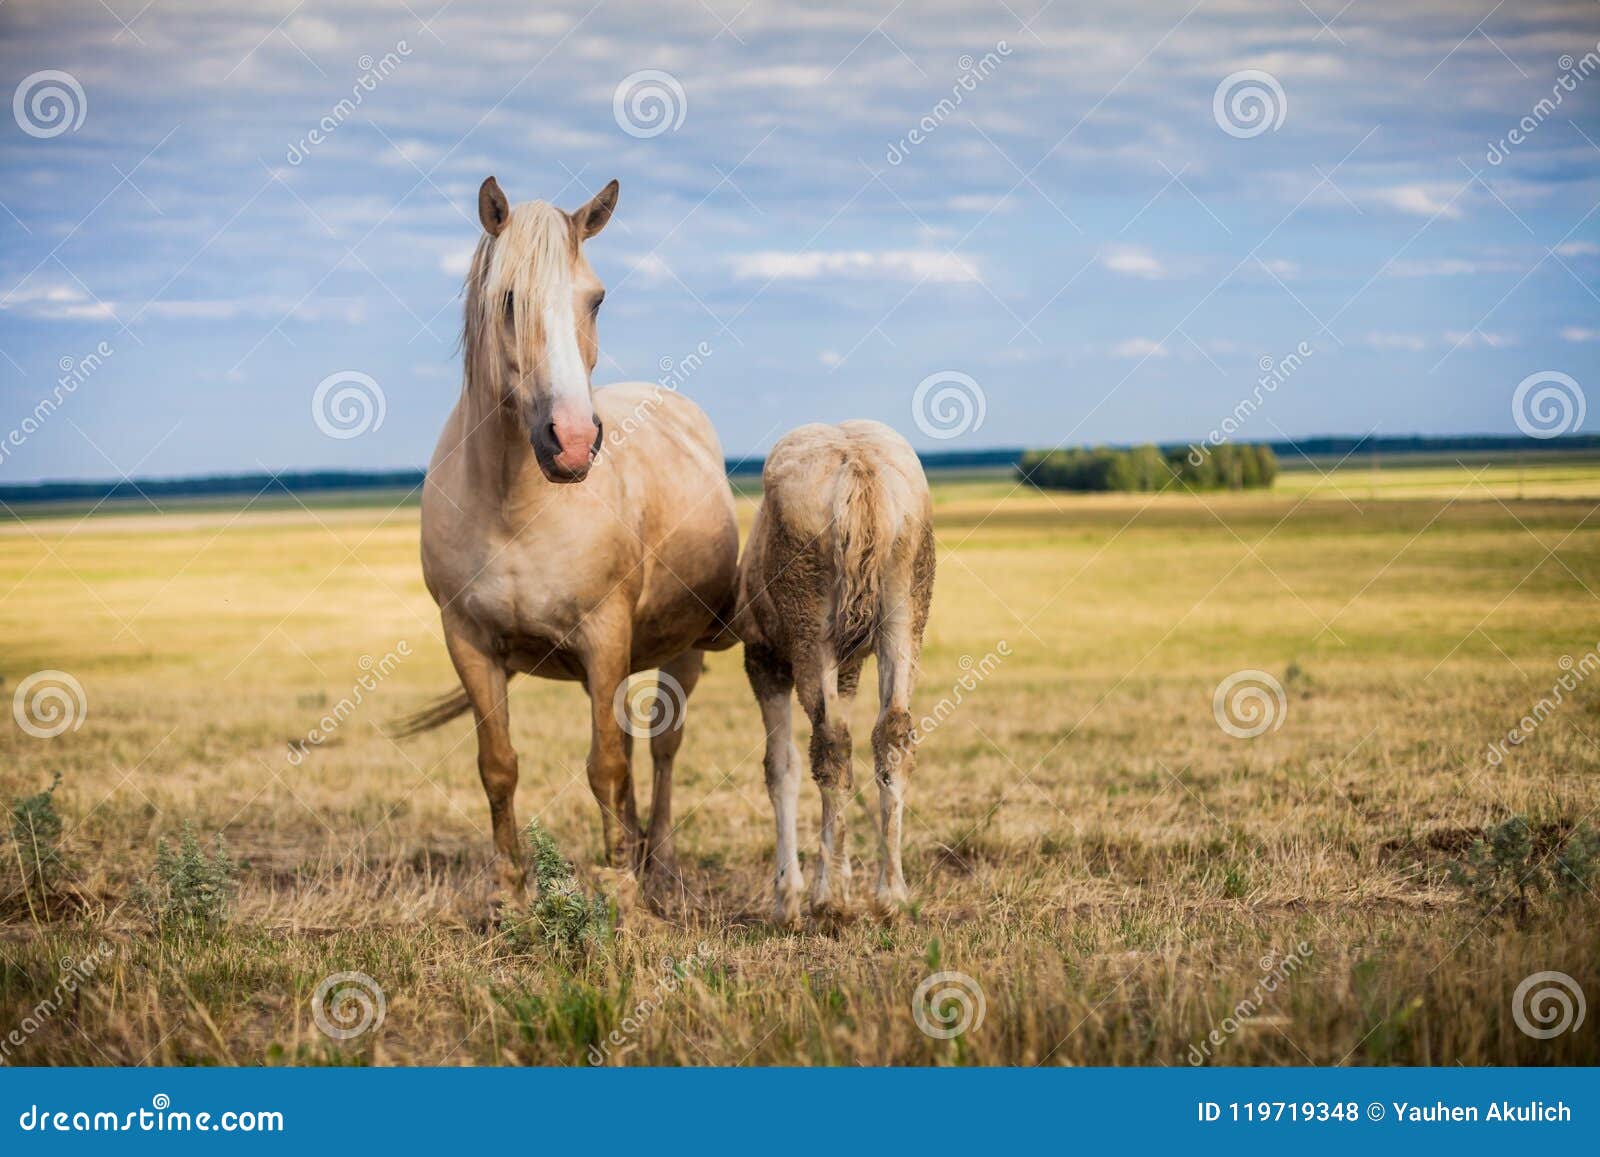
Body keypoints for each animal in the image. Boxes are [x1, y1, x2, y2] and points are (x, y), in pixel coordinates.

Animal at [400, 176, 739, 910]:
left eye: (597, 298)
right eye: (507, 299)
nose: (575, 441)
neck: (513, 506)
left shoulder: (604, 633)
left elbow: (606, 764)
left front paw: (620, 888)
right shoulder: (468, 641)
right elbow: (498, 764)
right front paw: (509, 891)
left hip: (681, 652)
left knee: (661, 748)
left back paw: (658, 866)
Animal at [735, 421, 936, 923]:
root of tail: (859, 469)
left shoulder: (763, 659)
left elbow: (780, 768)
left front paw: (787, 897)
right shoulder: (848, 667)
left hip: (810, 627)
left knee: (830, 742)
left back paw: (829, 900)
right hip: (907, 603)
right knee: (893, 733)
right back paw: (892, 896)